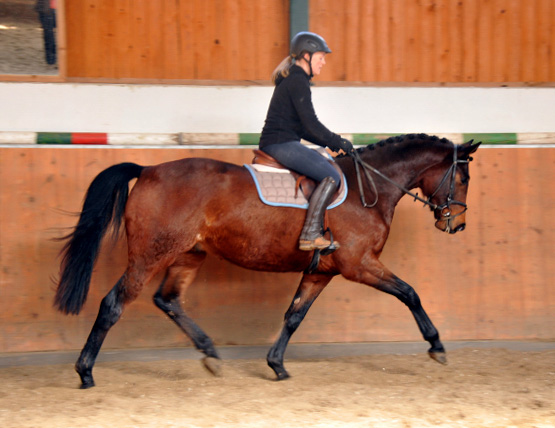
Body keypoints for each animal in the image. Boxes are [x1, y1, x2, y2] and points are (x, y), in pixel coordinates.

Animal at [57, 133, 482, 388]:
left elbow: (294, 315)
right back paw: (85, 371)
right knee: (113, 304)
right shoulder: (360, 264)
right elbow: (410, 293)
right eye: (462, 179)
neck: (370, 189)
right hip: (151, 255)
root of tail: (148, 170)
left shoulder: (322, 272)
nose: (457, 224)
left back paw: (211, 354)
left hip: (188, 254)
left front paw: (276, 364)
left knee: (168, 300)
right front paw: (437, 346)